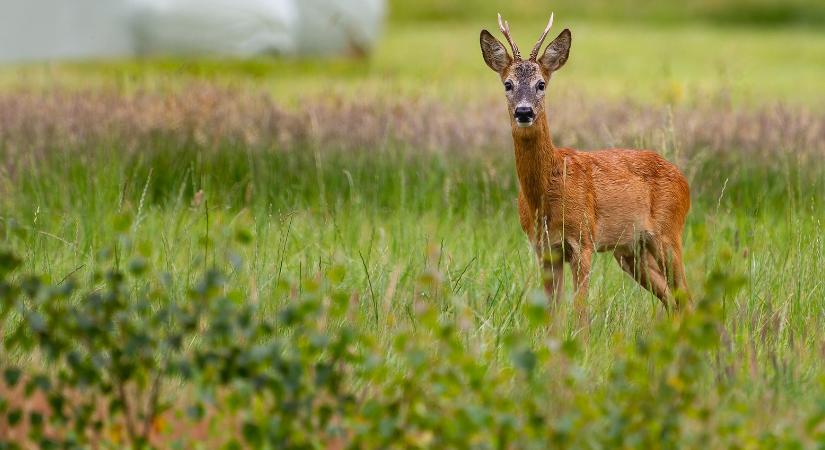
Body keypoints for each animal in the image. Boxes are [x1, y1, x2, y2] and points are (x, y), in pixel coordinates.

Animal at [480, 13, 692, 310]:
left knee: (687, 295)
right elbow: (553, 311)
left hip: (668, 233)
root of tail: (684, 180)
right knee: (672, 300)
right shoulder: (544, 249)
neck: (547, 191)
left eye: (541, 84)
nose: (524, 111)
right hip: (631, 251)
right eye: (507, 84)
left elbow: (580, 309)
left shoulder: (584, 241)